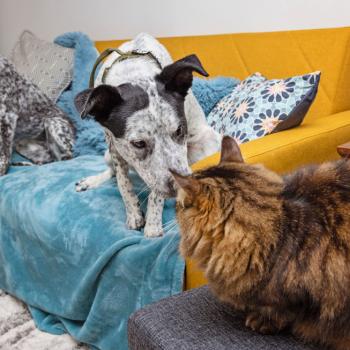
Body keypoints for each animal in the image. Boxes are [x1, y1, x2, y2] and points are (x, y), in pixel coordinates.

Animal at [75, 32, 220, 237]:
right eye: (138, 143)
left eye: (179, 130)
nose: (182, 187)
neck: (134, 72)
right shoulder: (115, 147)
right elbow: (123, 182)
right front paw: (134, 213)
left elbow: (156, 194)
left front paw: (152, 224)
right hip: (107, 155)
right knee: (112, 172)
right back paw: (91, 181)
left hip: (207, 143)